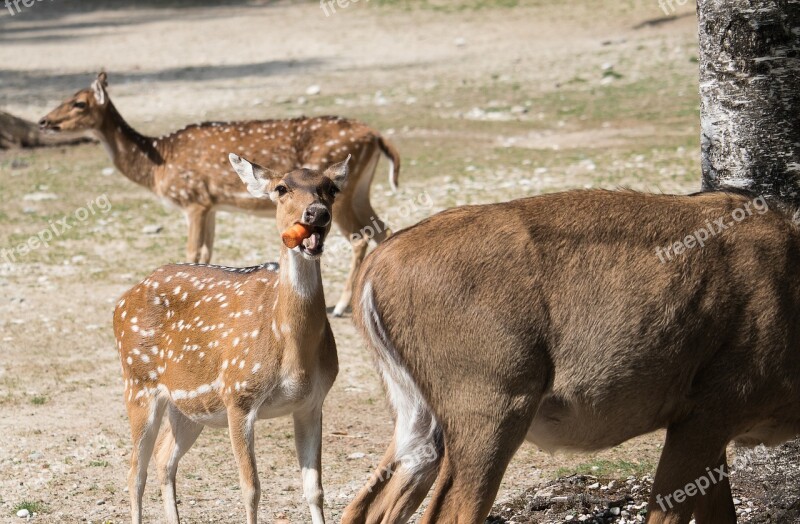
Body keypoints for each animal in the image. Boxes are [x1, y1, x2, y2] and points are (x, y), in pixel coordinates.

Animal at [42, 72, 398, 316]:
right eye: (66, 95)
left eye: (79, 103)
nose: (44, 121)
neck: (158, 164)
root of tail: (377, 134)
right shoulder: (211, 204)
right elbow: (207, 251)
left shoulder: (193, 200)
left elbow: (193, 250)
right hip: (359, 189)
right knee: (383, 227)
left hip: (342, 195)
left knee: (360, 236)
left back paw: (340, 305)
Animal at [111, 152, 346, 524]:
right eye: (281, 188)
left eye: (331, 189)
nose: (316, 213)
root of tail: (120, 303)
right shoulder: (239, 395)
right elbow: (251, 490)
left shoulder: (312, 402)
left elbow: (315, 489)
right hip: (138, 381)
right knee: (135, 471)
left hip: (189, 406)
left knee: (164, 458)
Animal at [340, 189, 800, 524]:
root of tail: (376, 269)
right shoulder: (707, 414)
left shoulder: (707, 430)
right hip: (493, 408)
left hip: (419, 419)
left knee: (367, 505)